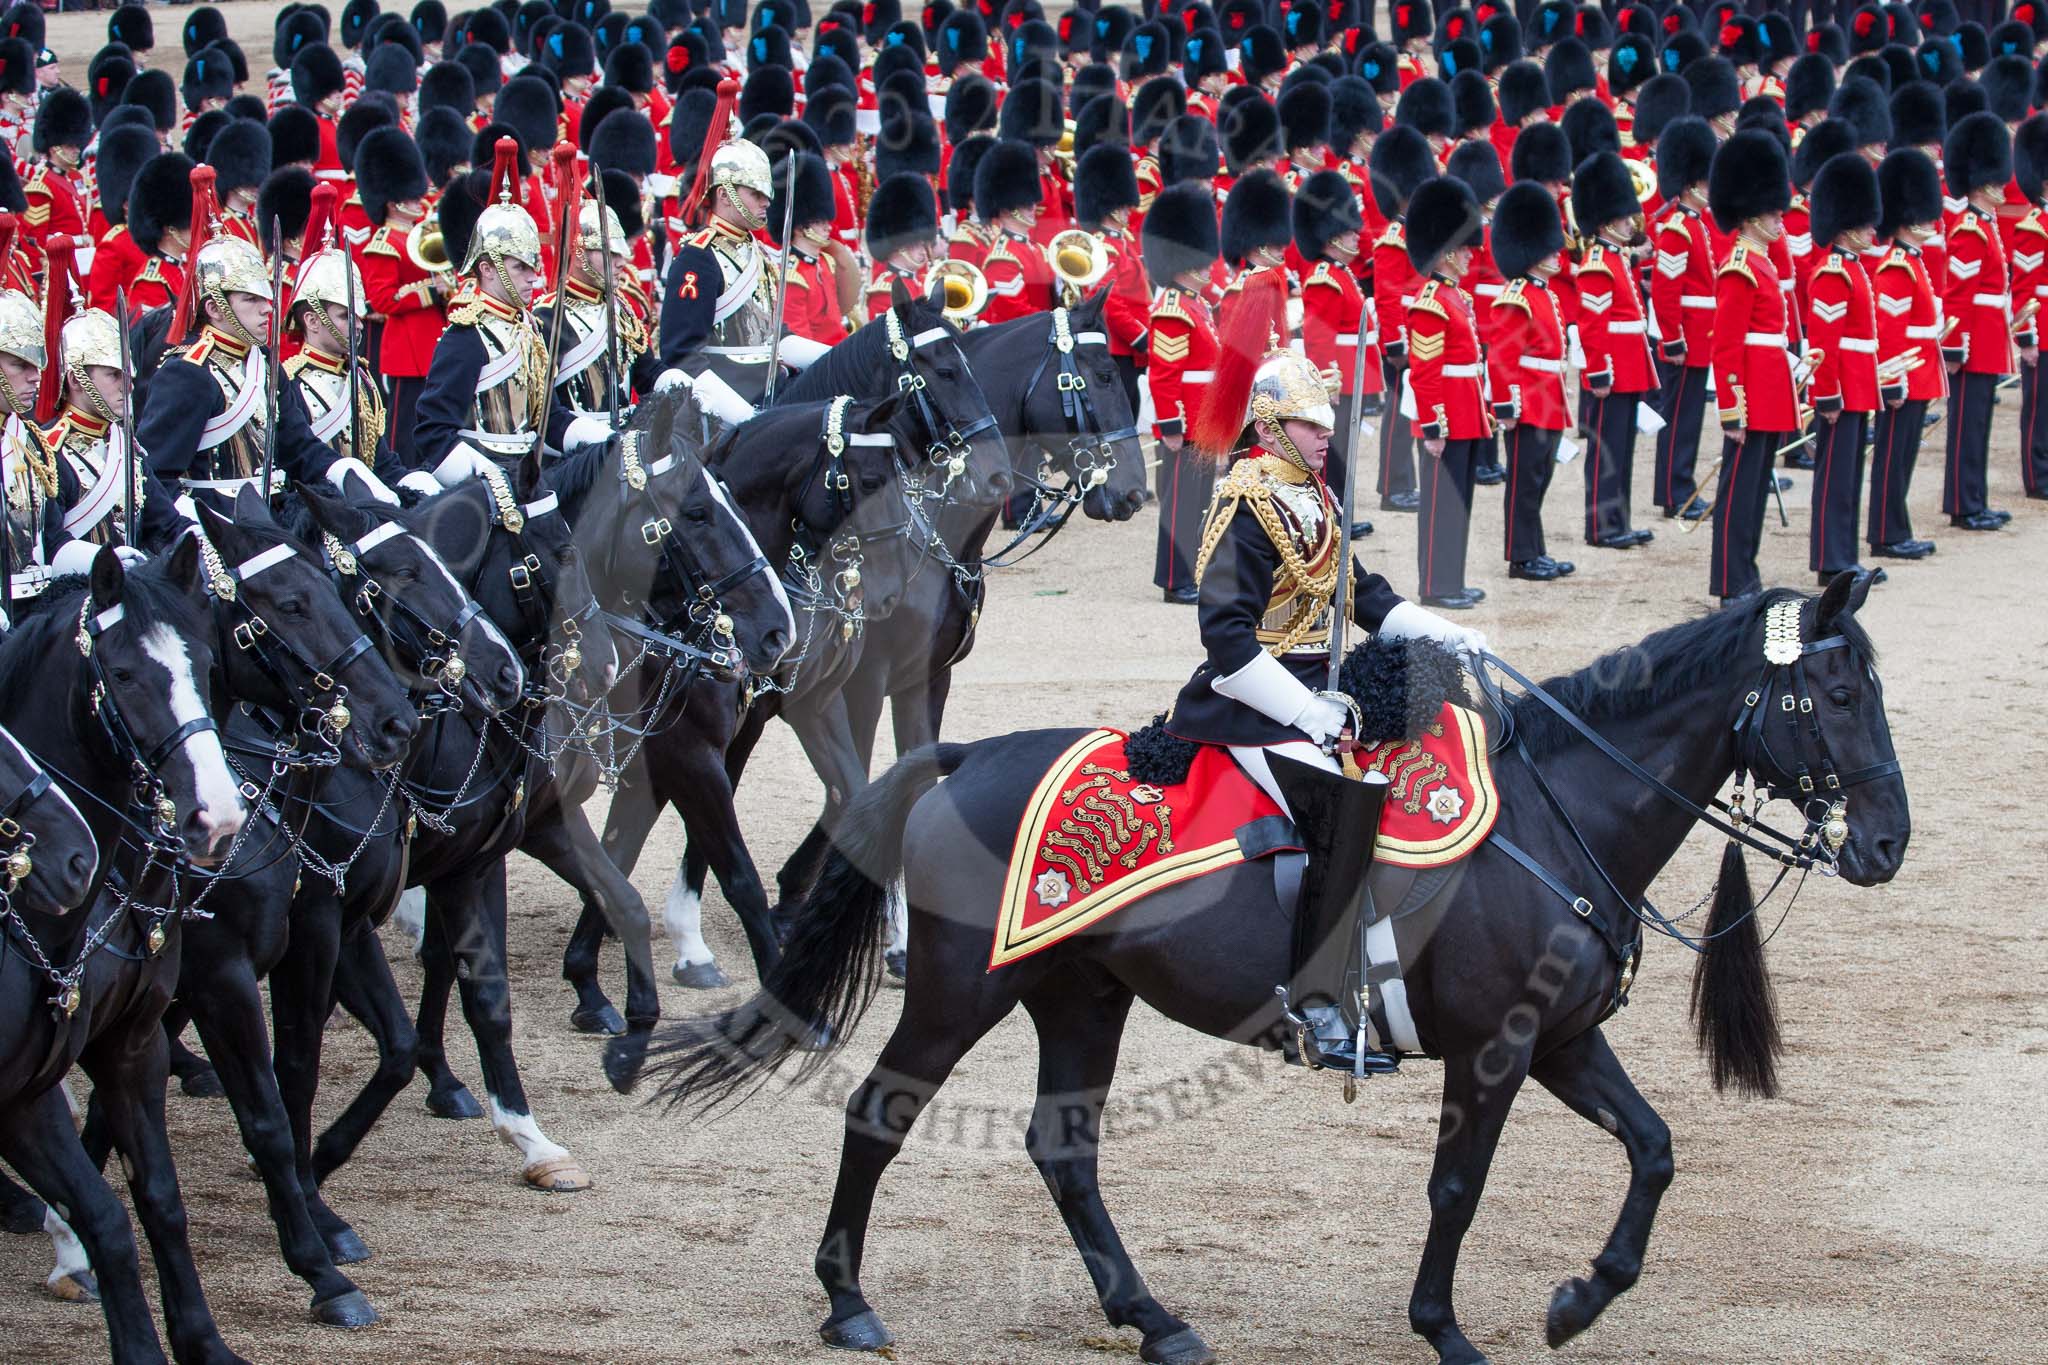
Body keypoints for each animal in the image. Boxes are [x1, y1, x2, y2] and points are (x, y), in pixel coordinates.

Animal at [0, 541, 256, 1363]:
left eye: (205, 661)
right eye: (125, 675)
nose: (217, 816)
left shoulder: (124, 1047)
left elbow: (153, 1200)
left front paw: (203, 1341)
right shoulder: (23, 1089)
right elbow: (107, 1217)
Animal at [631, 575, 1910, 1365]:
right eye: (1838, 692)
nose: (1887, 846)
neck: (1557, 820)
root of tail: (965, 755)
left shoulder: (1559, 1041)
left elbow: (1652, 1149)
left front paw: (1575, 1301)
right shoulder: (1493, 1053)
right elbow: (1457, 1188)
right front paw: (1445, 1327)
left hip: (1080, 998)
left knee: (1063, 1152)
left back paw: (1151, 1318)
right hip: (961, 992)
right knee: (877, 1114)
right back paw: (849, 1304)